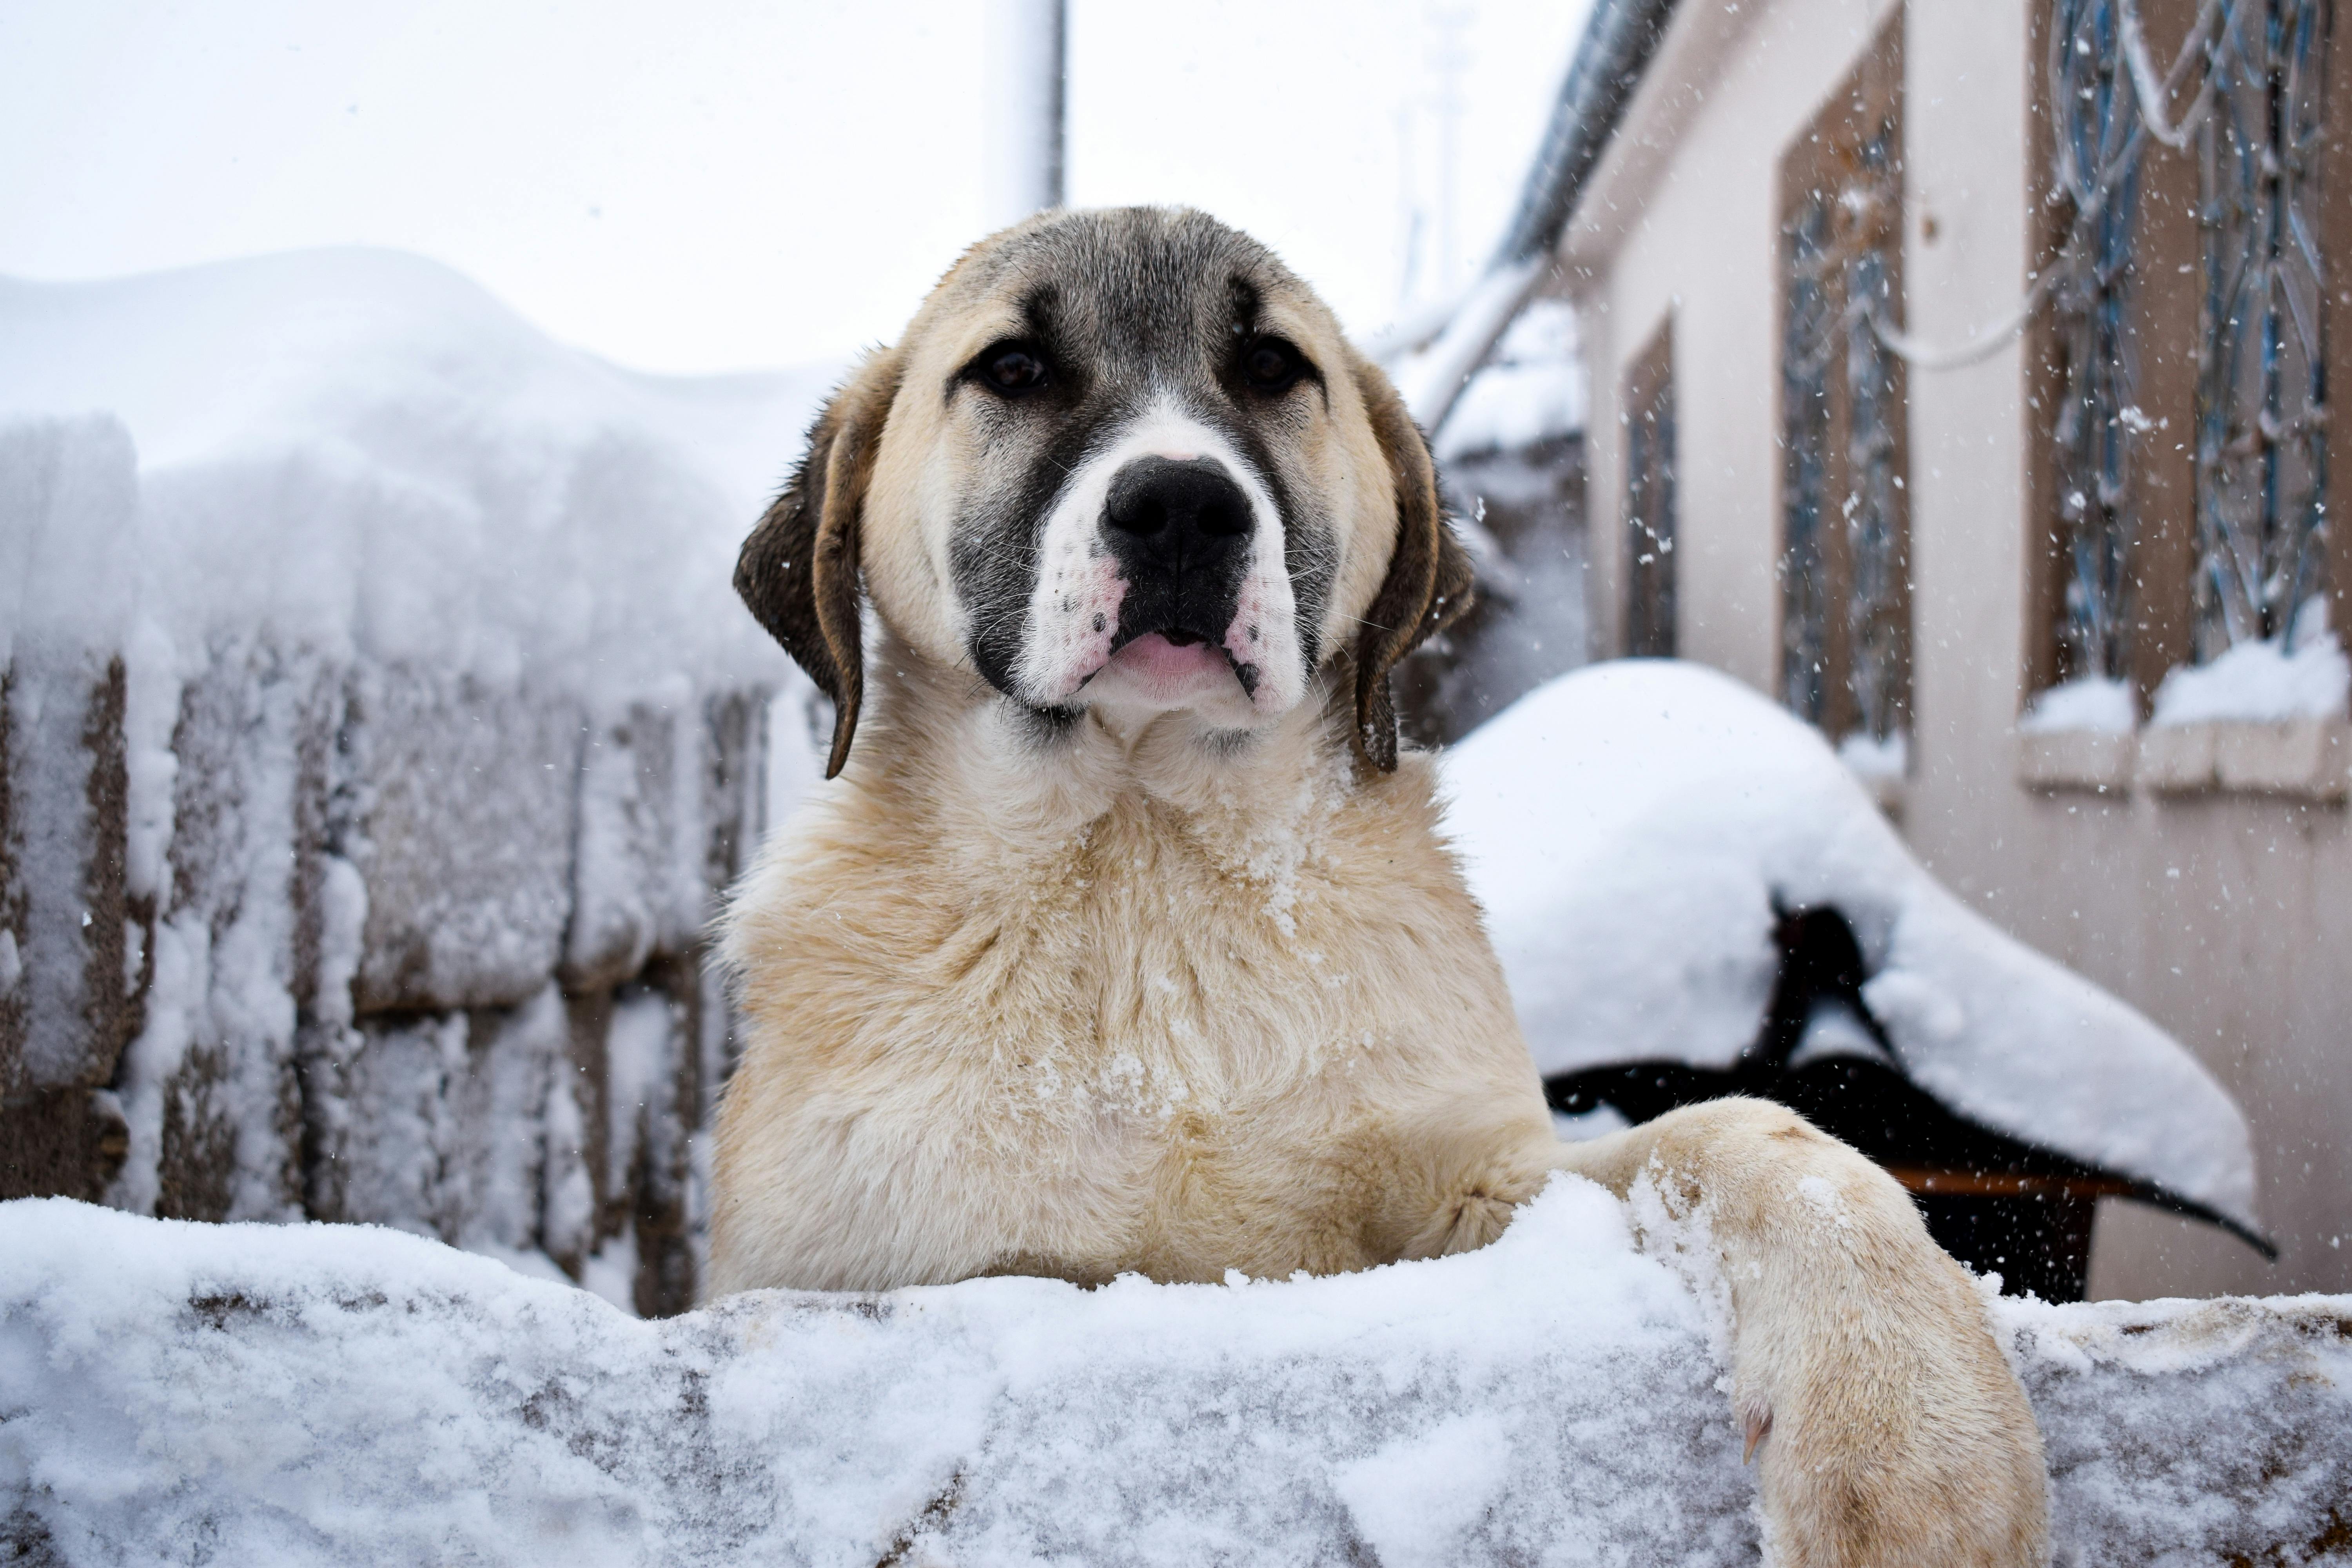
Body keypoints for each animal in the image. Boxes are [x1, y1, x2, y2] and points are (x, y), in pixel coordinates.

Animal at [706, 208, 2051, 1568]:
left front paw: (1911, 1431)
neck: (1143, 869)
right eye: (1014, 369)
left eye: (1270, 366)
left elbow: (1751, 1136)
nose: (1182, 508)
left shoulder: (1489, 1187)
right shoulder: (864, 1266)